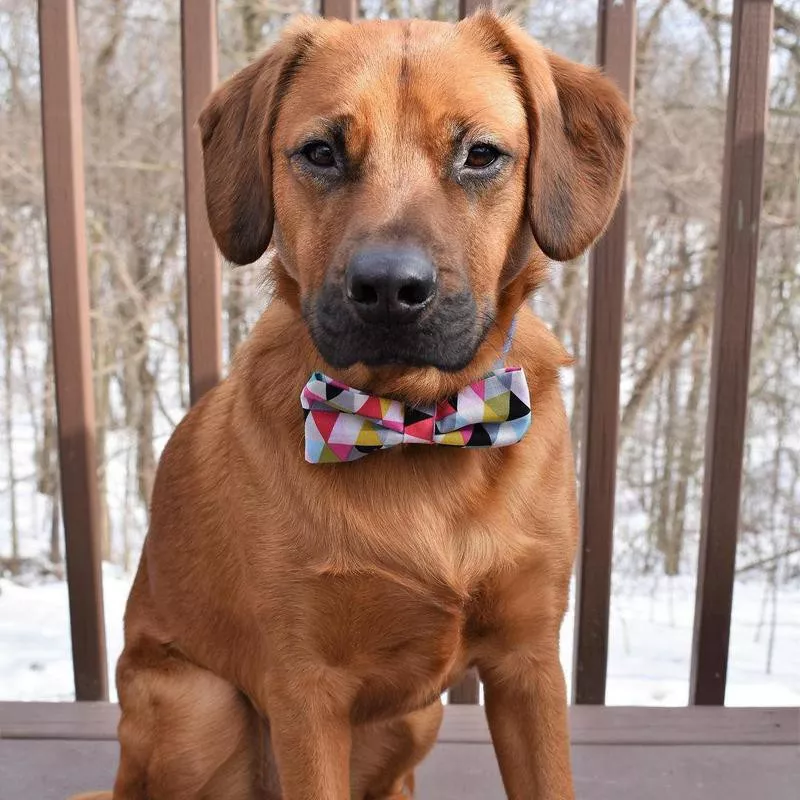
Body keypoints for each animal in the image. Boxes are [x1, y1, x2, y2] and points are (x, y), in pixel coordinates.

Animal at [73, 12, 632, 800]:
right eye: (320, 152)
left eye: (481, 155)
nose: (390, 289)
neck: (415, 425)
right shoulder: (306, 691)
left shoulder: (529, 665)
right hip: (200, 706)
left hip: (418, 716)